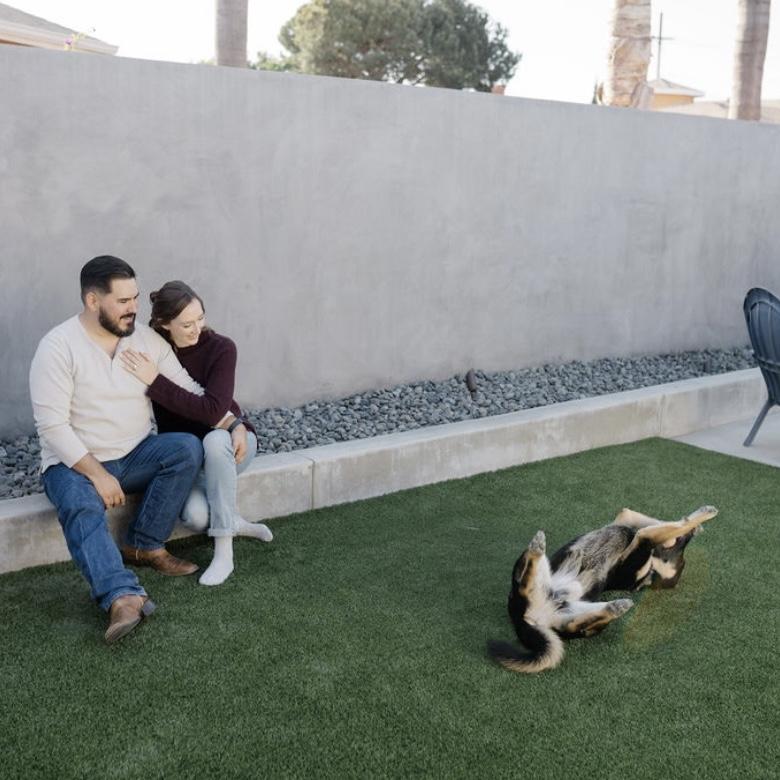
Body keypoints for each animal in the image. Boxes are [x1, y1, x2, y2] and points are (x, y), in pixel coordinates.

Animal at [487, 505, 718, 673]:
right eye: (653, 572)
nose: (637, 585)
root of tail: (522, 619)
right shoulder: (630, 521)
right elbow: (663, 526)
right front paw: (699, 519)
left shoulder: (638, 540)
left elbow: (659, 528)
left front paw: (695, 522)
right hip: (530, 581)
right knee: (524, 575)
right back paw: (536, 548)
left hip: (570, 615)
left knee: (574, 621)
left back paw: (614, 607)